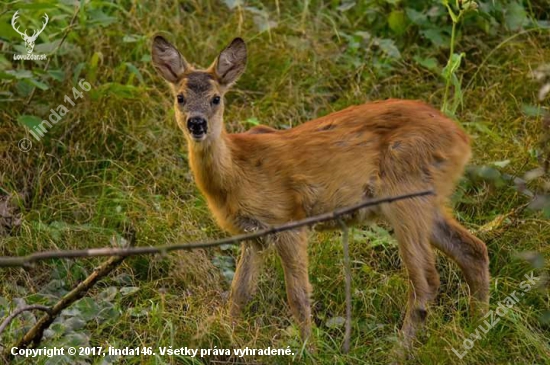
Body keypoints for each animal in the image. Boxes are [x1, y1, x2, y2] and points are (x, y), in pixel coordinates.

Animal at [151, 36, 492, 350]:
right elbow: (240, 293)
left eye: (216, 98)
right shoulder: (253, 234)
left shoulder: (288, 219)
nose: (197, 123)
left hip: (407, 195)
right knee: (473, 249)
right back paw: (477, 326)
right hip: (426, 201)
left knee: (426, 280)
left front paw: (308, 349)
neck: (237, 173)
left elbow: (298, 295)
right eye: (180, 97)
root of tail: (463, 139)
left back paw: (400, 350)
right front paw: (227, 335)